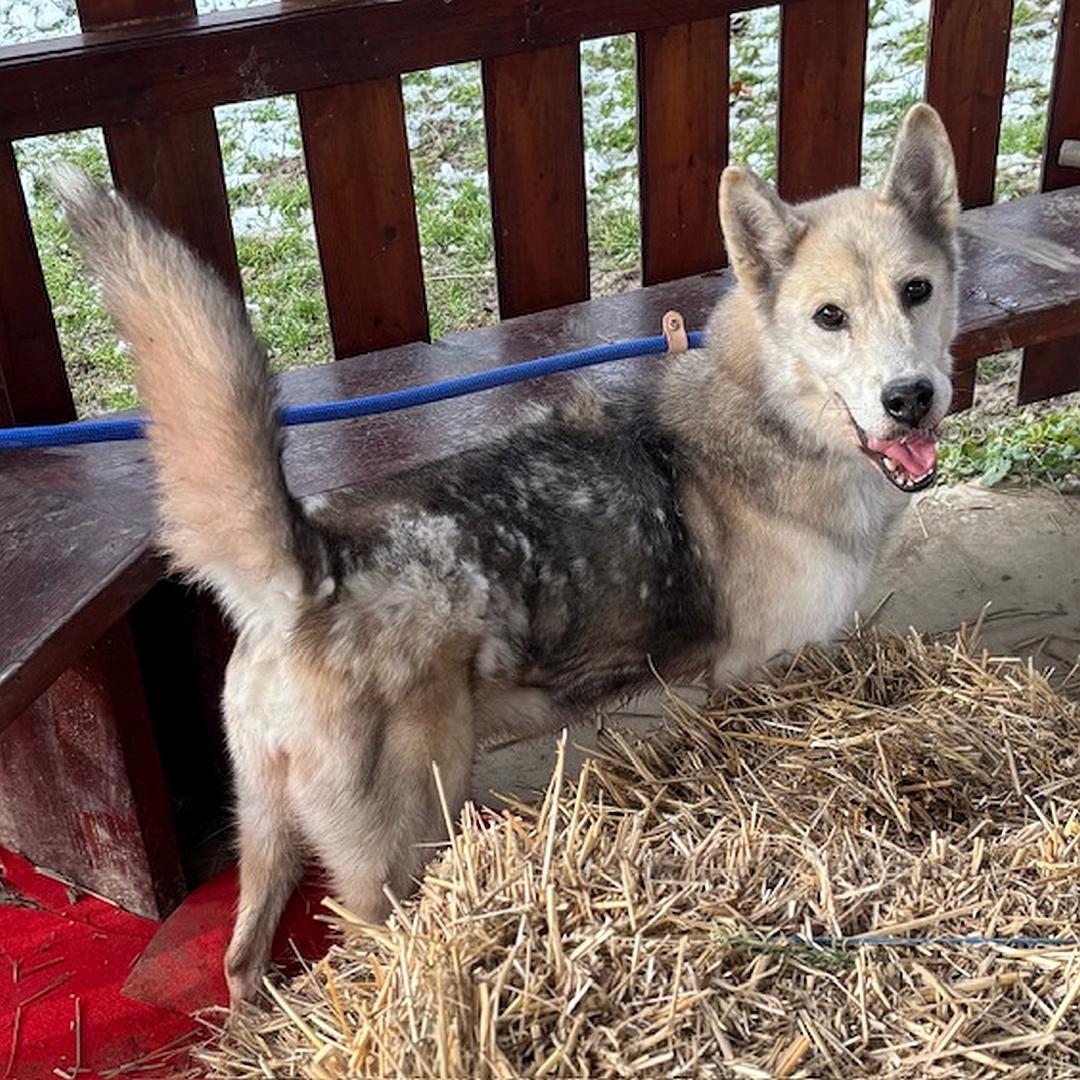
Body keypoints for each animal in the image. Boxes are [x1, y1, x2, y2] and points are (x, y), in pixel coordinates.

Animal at [54, 103, 959, 1002]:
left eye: (917, 291)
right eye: (829, 317)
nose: (910, 398)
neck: (774, 416)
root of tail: (314, 569)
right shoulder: (751, 676)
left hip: (268, 828)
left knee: (242, 963)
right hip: (402, 852)